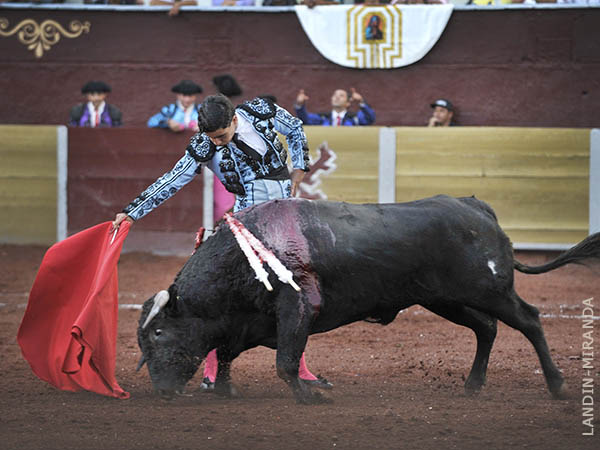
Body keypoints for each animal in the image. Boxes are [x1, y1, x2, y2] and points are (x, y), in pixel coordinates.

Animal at [137, 197, 600, 404]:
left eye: (158, 333)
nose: (161, 390)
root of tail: (479, 209)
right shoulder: (250, 321)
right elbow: (228, 351)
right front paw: (225, 389)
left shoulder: (298, 307)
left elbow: (286, 360)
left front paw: (309, 397)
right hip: (445, 300)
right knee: (487, 327)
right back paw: (472, 384)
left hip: (490, 290)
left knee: (530, 320)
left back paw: (557, 385)